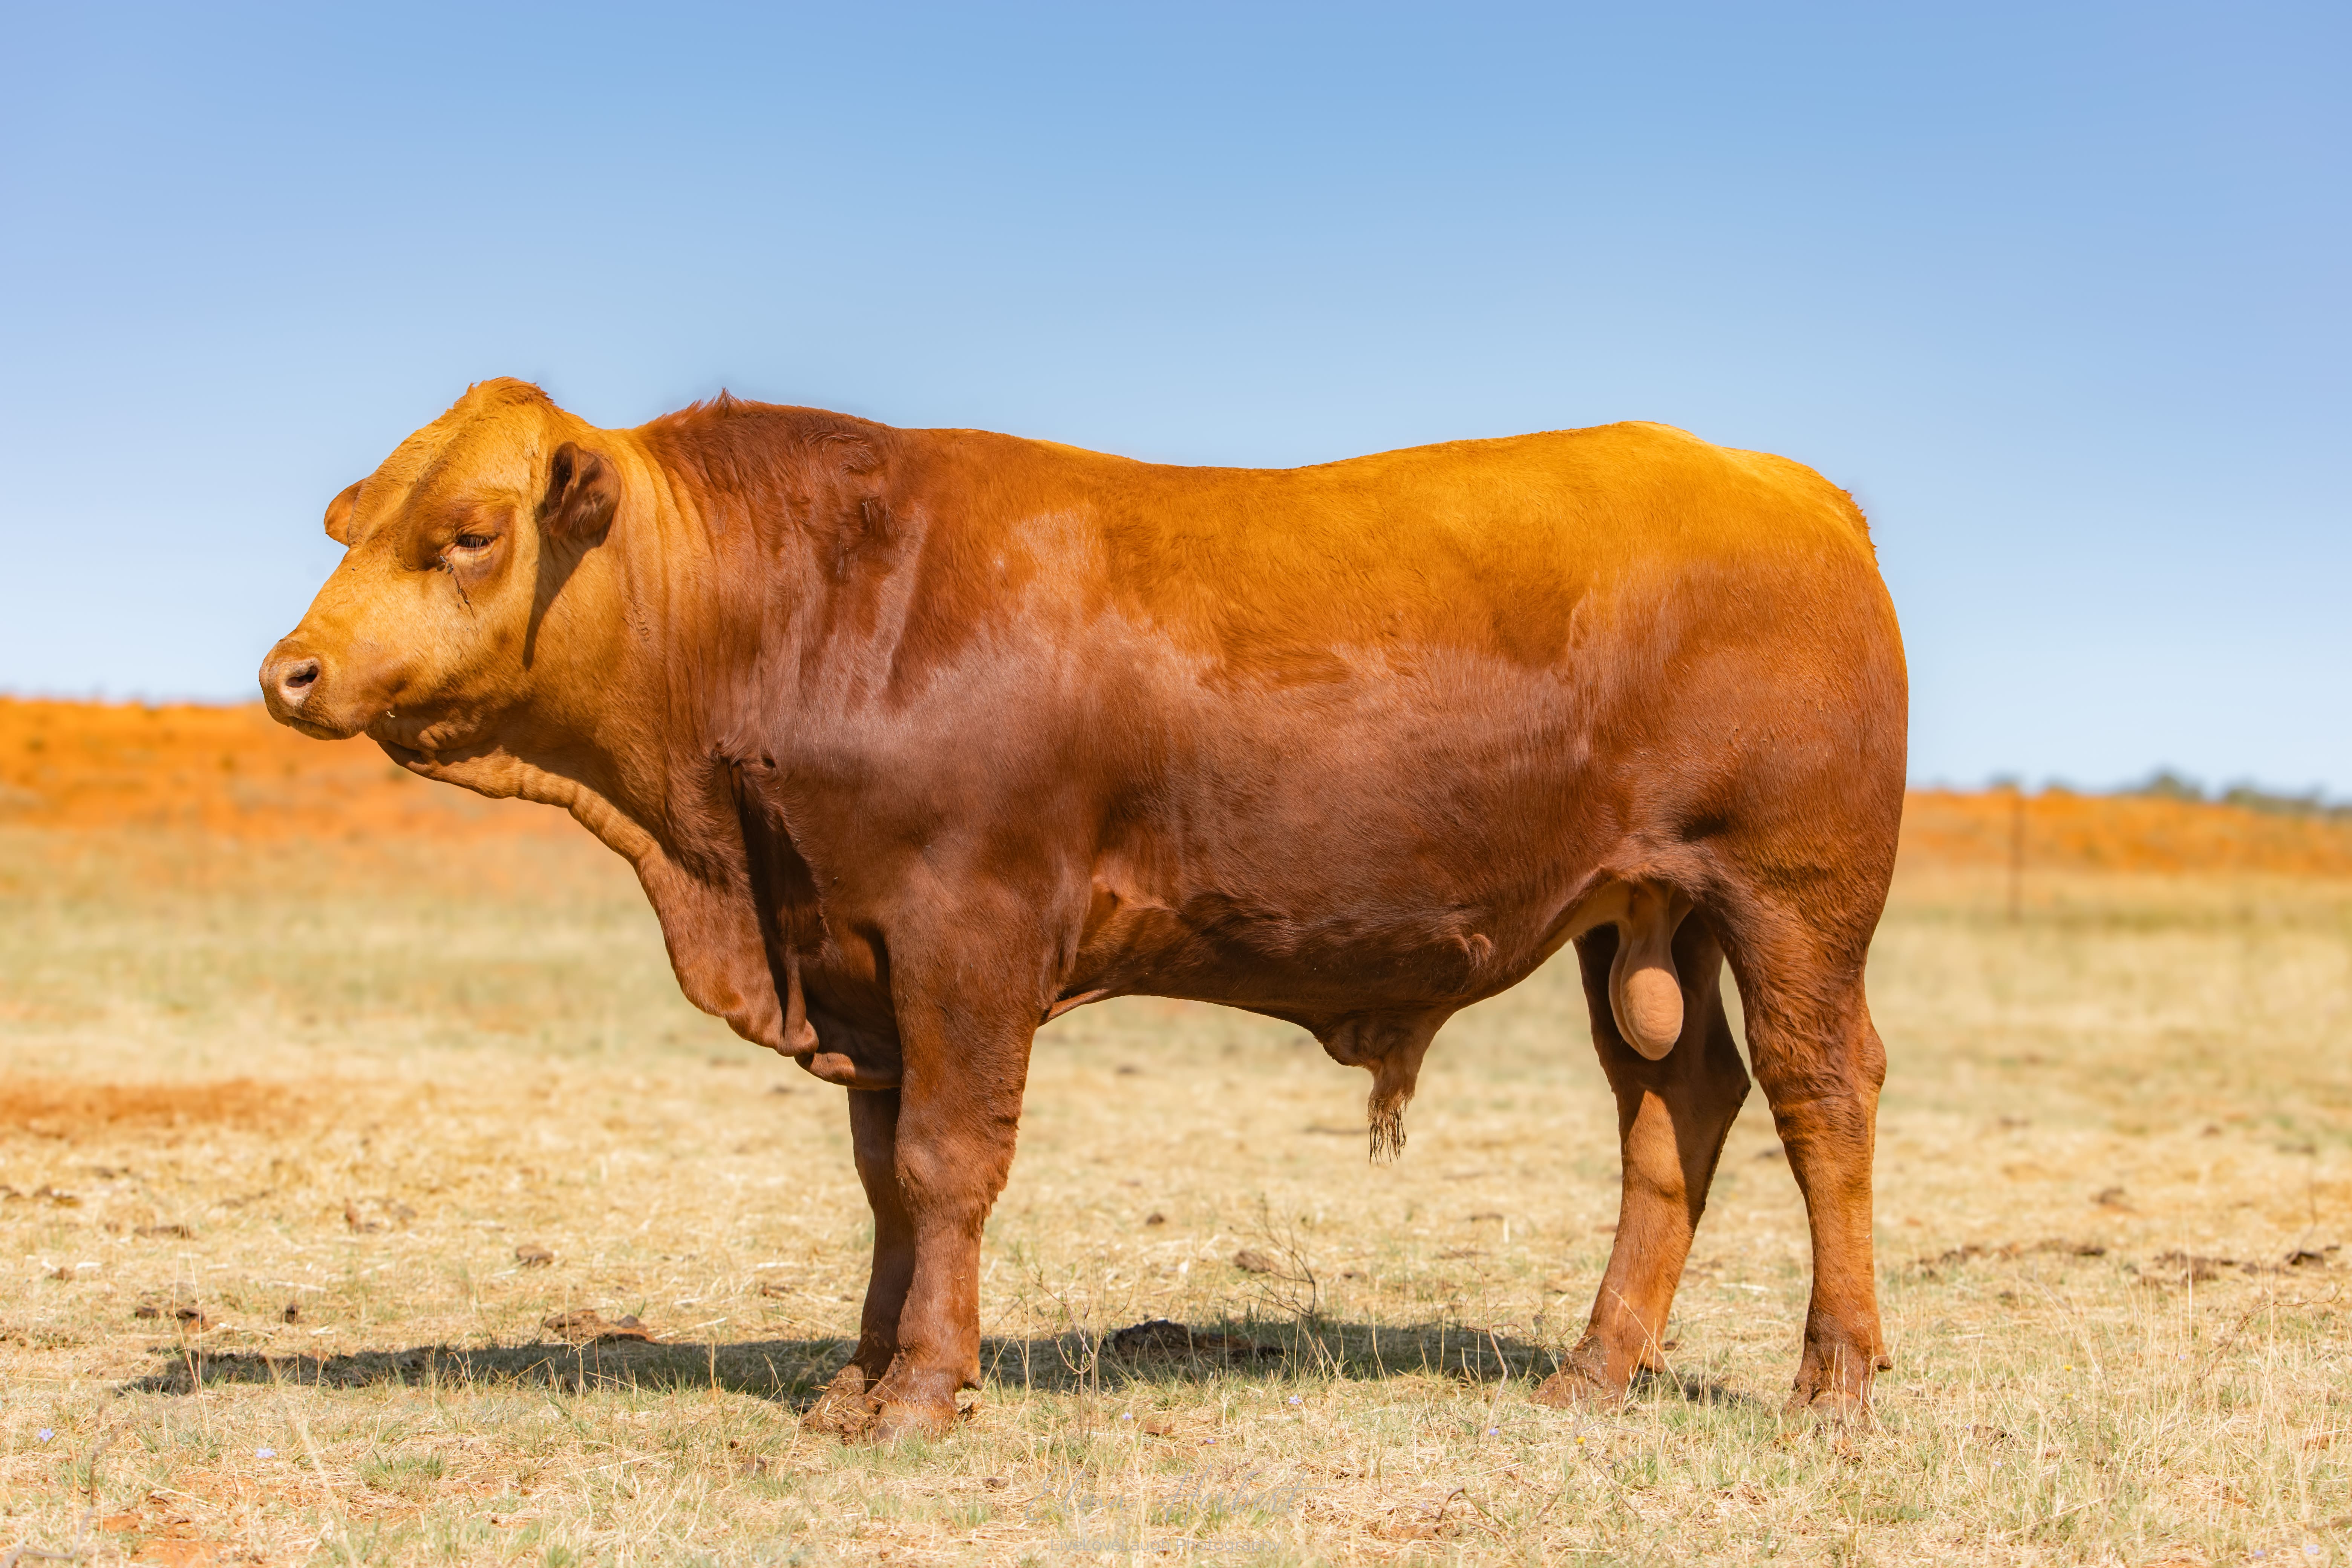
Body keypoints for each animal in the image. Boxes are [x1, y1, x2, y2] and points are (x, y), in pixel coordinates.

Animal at [260, 379, 1906, 1440]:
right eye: (356, 517)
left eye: (471, 530)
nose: (291, 670)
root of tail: (1782, 480)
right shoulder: (858, 959)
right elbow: (884, 1179)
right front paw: (859, 1375)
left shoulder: (965, 937)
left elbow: (944, 1167)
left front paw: (924, 1390)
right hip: (1641, 918)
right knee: (1675, 1109)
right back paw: (1597, 1370)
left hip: (1791, 903)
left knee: (1821, 1099)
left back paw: (1833, 1382)